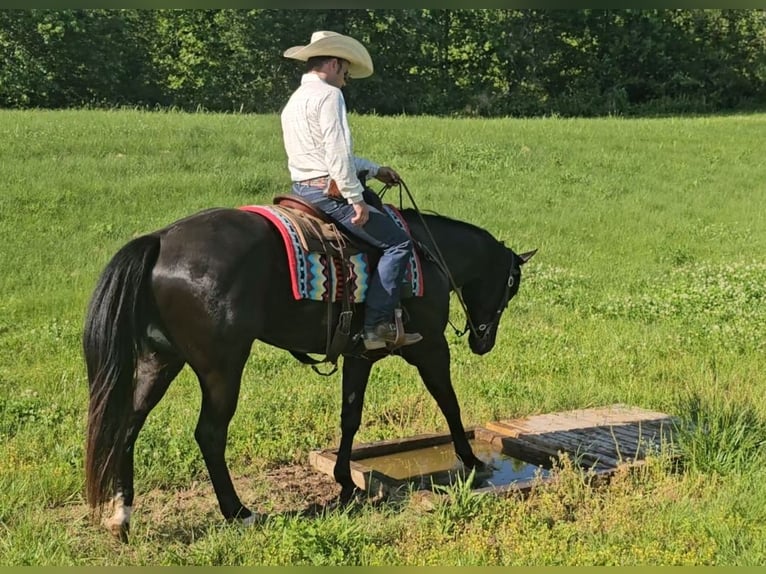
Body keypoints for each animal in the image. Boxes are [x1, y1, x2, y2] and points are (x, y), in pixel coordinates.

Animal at [82, 201, 536, 540]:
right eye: (512, 285)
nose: (483, 341)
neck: (428, 253)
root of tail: (160, 240)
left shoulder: (359, 356)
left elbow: (350, 417)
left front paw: (345, 482)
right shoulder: (430, 348)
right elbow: (449, 403)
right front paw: (471, 460)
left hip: (159, 361)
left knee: (127, 426)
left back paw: (122, 515)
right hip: (222, 369)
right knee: (209, 434)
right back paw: (240, 512)